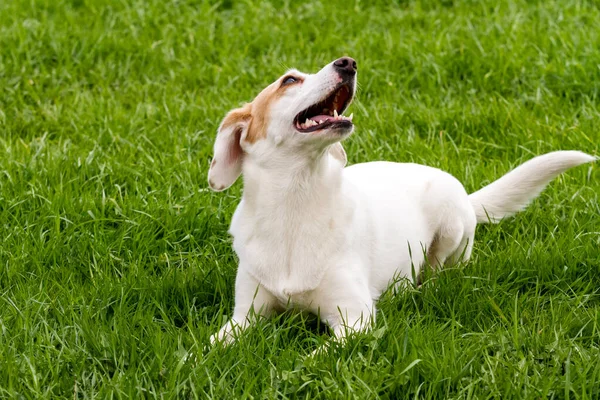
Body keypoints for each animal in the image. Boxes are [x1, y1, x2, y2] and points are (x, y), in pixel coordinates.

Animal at [207, 57, 596, 346]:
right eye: (289, 80)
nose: (348, 62)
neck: (295, 203)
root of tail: (468, 197)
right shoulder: (244, 316)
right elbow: (211, 346)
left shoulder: (354, 319)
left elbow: (314, 357)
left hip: (451, 230)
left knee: (438, 274)